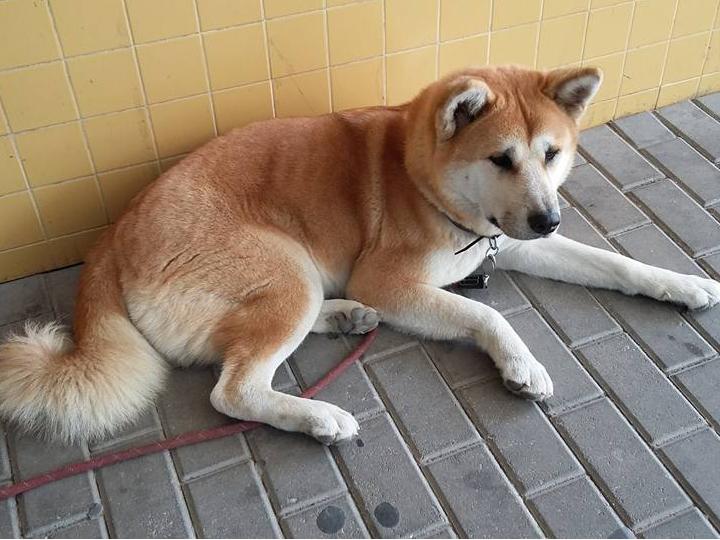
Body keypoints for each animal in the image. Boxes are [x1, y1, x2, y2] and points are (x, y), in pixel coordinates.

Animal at [1, 65, 720, 446]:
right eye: (500, 158)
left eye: (551, 154)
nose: (549, 219)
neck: (425, 183)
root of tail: (111, 236)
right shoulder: (391, 281)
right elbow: (487, 315)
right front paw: (521, 364)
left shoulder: (510, 243)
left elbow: (617, 264)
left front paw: (681, 284)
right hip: (285, 267)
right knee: (234, 389)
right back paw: (318, 415)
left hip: (289, 280)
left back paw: (345, 317)